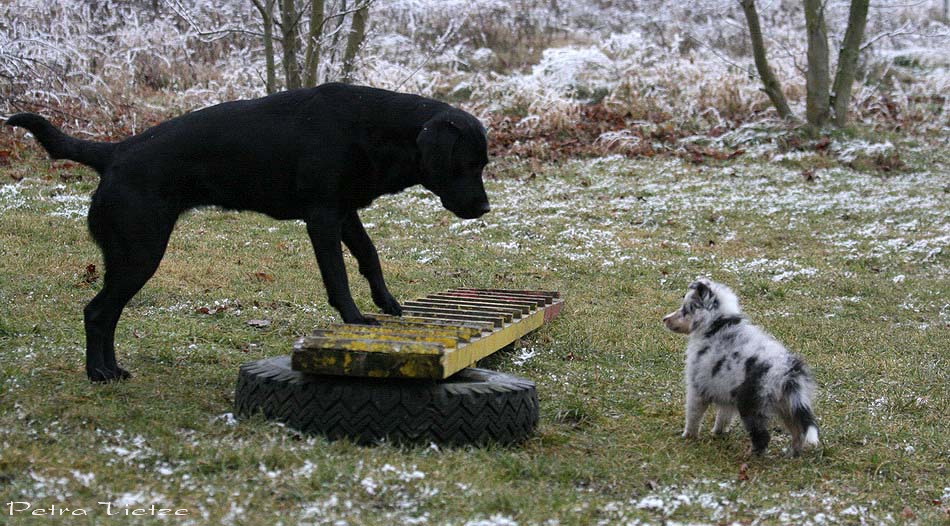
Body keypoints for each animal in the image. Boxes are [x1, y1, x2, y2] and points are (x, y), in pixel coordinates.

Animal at [7, 82, 494, 382]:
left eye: (483, 163)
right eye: (468, 163)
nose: (485, 208)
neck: (375, 128)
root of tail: (112, 153)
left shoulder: (345, 212)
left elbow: (369, 255)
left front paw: (387, 303)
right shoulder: (322, 217)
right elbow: (337, 277)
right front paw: (355, 319)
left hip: (129, 257)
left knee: (106, 315)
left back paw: (112, 369)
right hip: (140, 253)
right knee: (97, 312)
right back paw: (99, 373)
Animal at [664, 280, 820, 458]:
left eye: (685, 309)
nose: (664, 319)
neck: (717, 324)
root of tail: (788, 372)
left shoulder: (697, 388)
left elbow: (693, 416)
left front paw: (688, 437)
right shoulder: (726, 391)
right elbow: (723, 417)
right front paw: (718, 433)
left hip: (752, 406)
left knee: (762, 437)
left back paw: (752, 455)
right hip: (789, 406)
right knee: (798, 431)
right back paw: (792, 455)